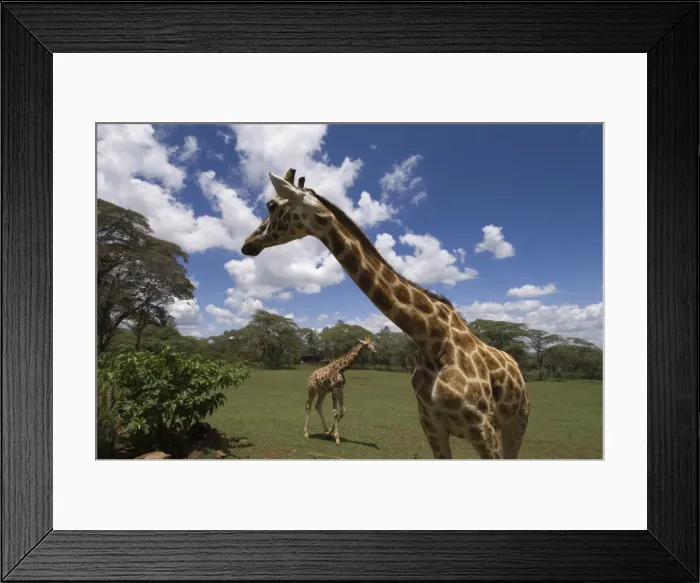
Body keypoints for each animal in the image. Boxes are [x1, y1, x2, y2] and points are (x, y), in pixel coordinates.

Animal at [241, 169, 530, 459]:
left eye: (271, 205)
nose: (247, 243)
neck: (432, 339)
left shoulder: (481, 428)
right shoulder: (431, 425)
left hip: (517, 422)